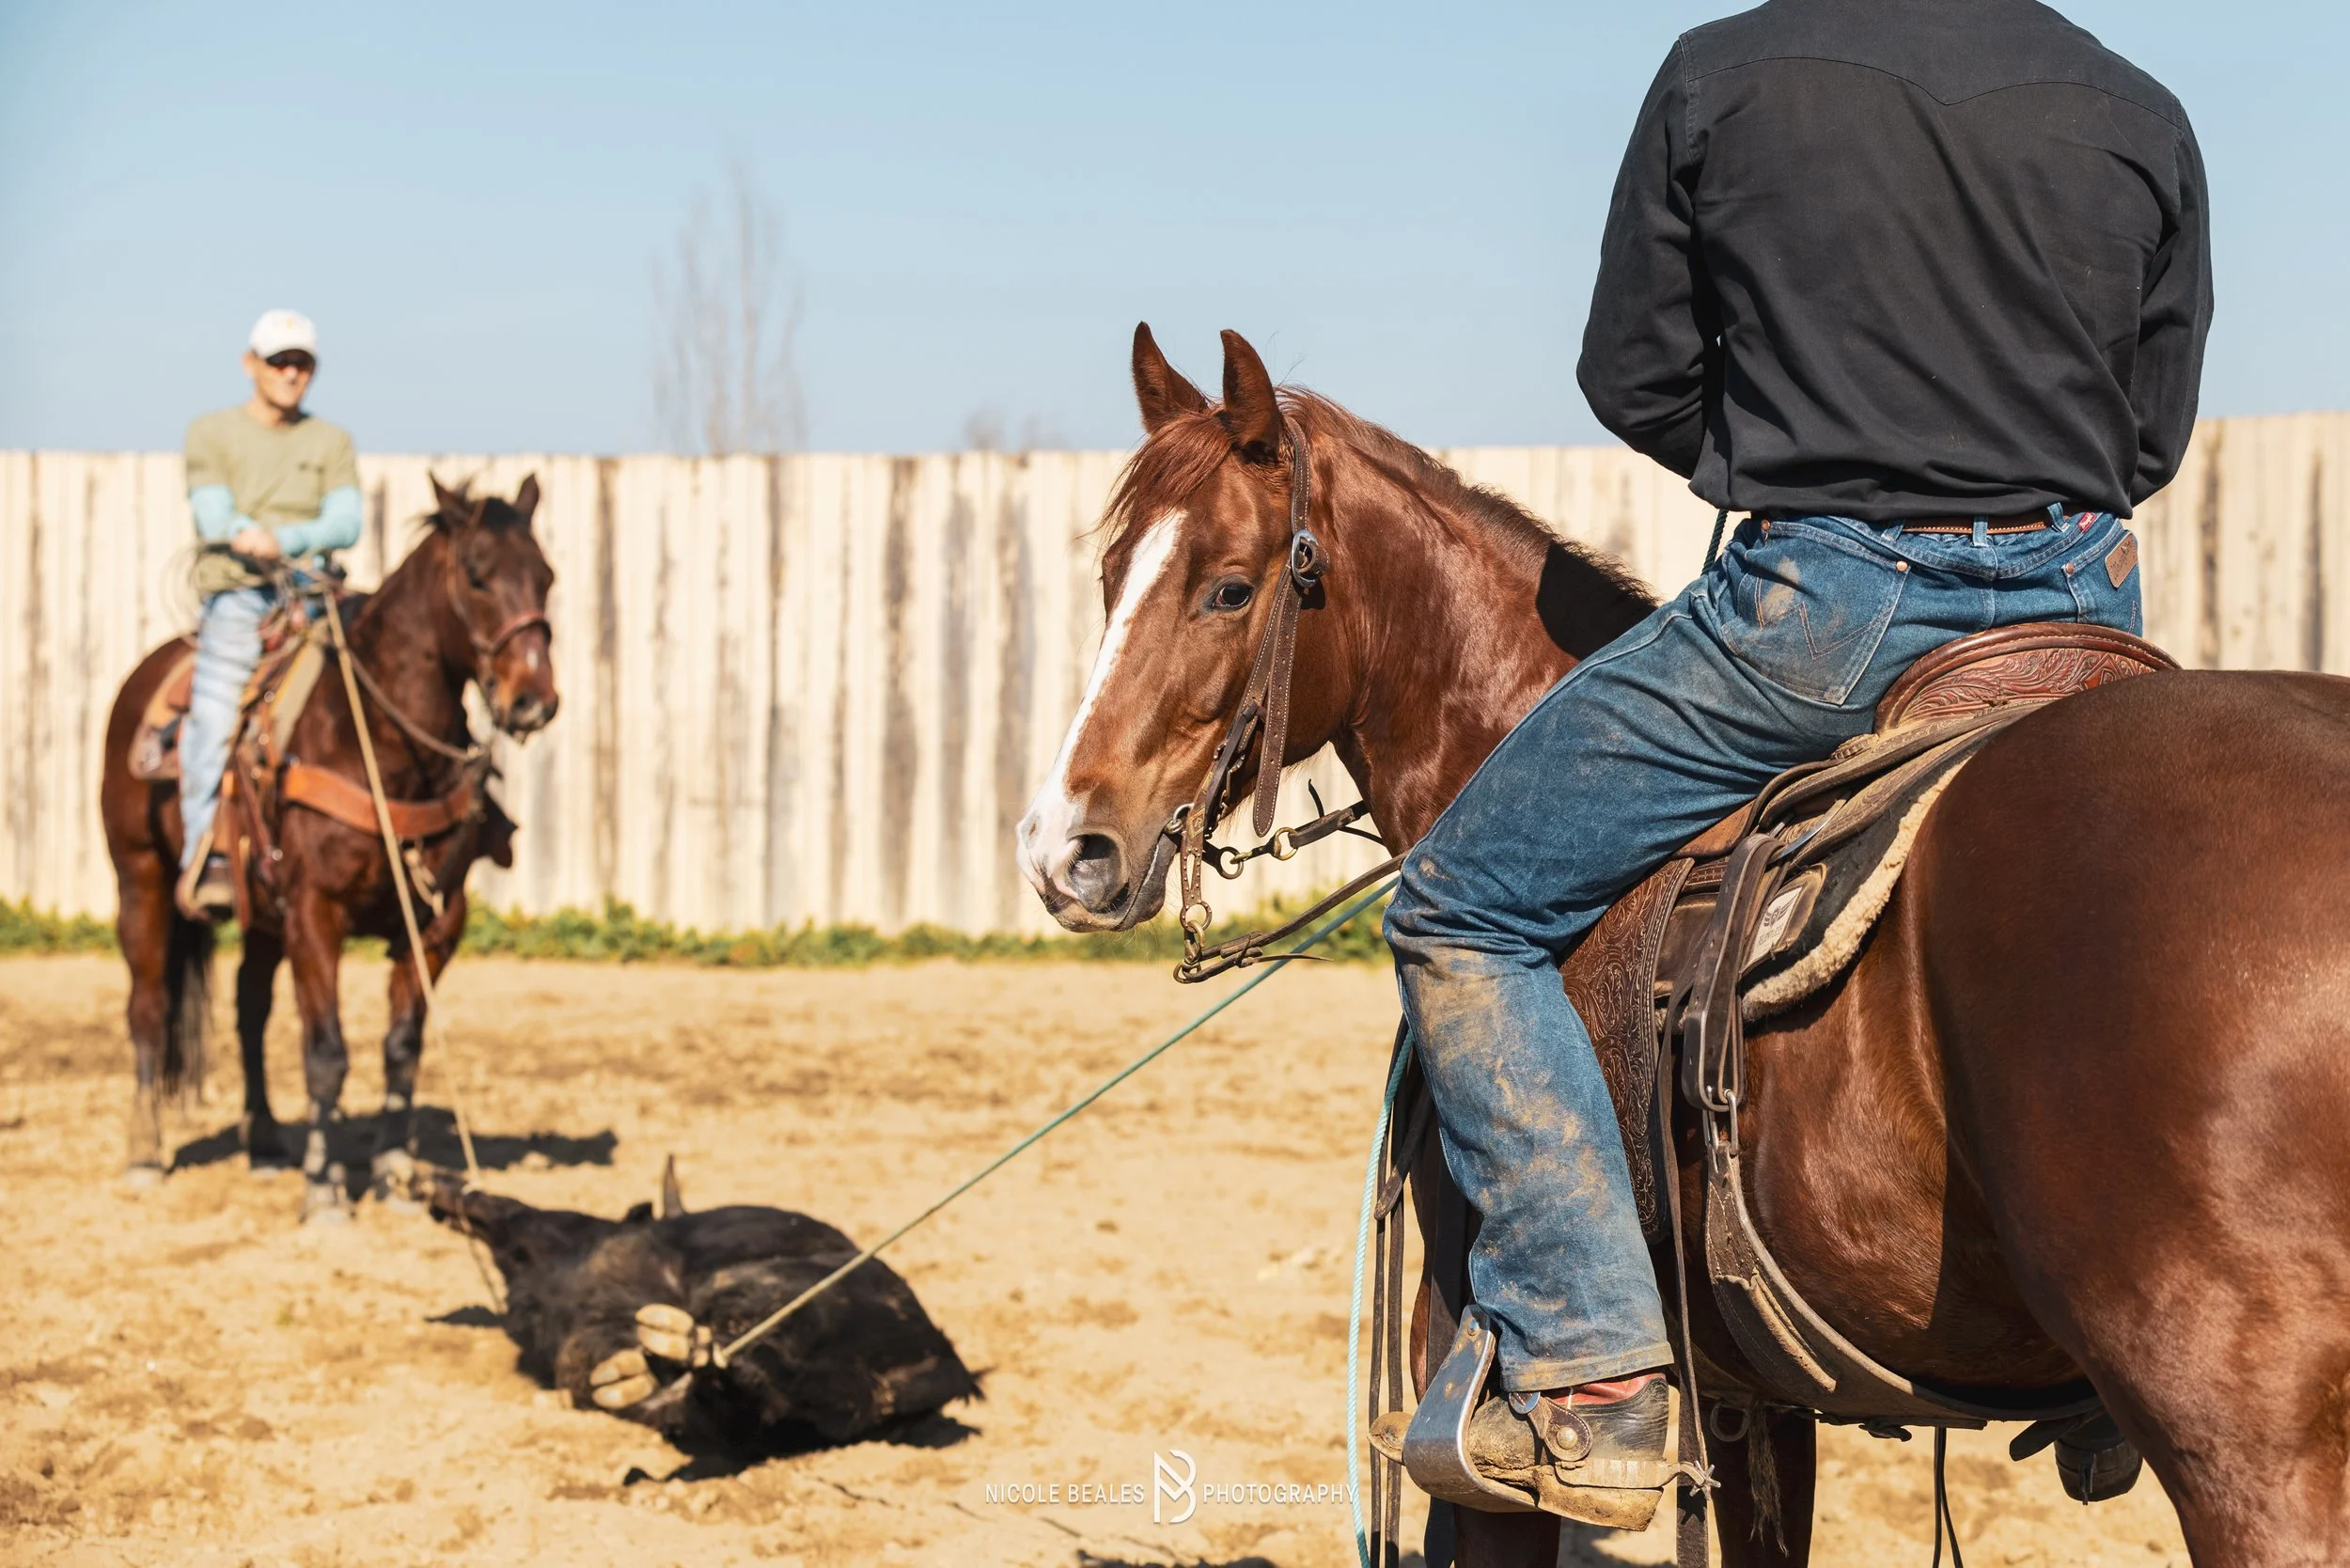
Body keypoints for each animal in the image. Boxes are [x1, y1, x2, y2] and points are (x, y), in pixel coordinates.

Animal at [100, 476, 559, 1223]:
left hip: (262, 910)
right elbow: (326, 1053)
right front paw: (324, 1187)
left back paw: (262, 1141)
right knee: (147, 1004)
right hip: (138, 875)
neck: (376, 742)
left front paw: (393, 1170)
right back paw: (145, 1151)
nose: (533, 701)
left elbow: (402, 1047)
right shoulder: (317, 914)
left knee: (250, 1009)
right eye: (476, 574)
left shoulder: (436, 923)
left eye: (545, 576)